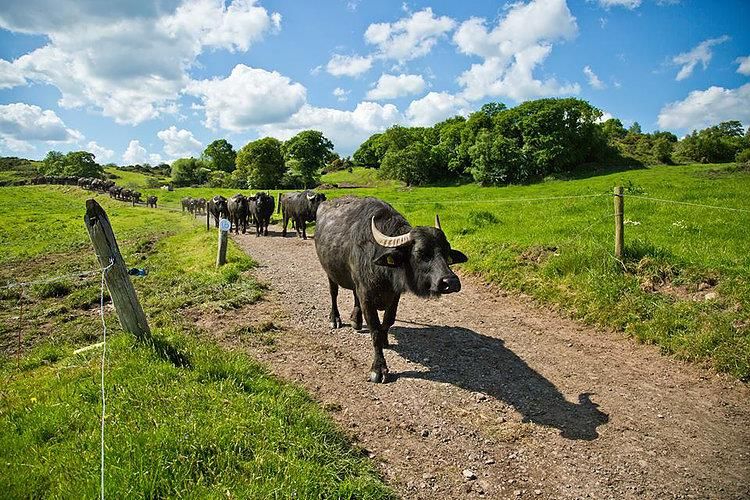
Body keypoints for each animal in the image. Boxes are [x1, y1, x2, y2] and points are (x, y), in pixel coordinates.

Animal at [314, 196, 468, 383]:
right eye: (421, 253)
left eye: (446, 252)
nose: (451, 282)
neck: (384, 270)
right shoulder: (367, 295)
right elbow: (374, 329)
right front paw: (378, 368)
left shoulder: (394, 296)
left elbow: (388, 321)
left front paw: (385, 339)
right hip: (330, 273)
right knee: (333, 293)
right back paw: (335, 319)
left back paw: (356, 320)